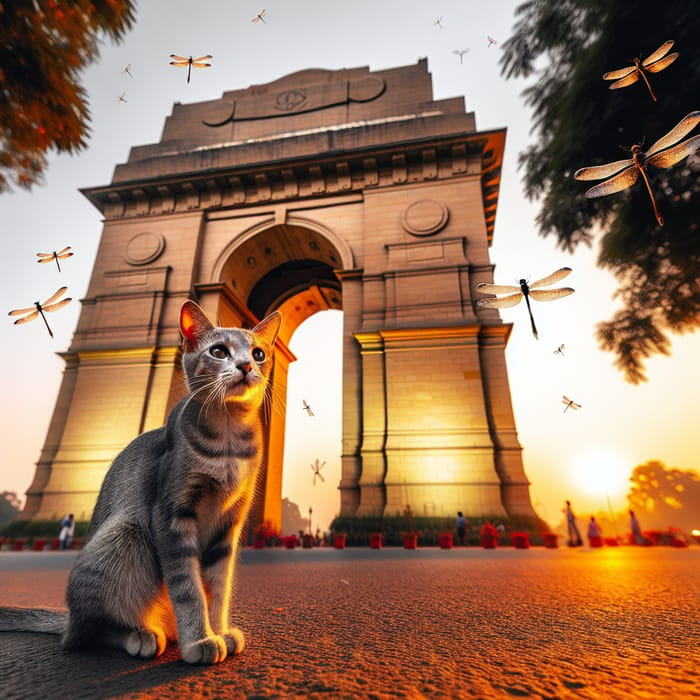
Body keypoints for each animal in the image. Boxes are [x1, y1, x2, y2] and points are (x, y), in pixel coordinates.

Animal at [3, 300, 282, 660]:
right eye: (219, 351)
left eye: (259, 354)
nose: (246, 366)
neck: (229, 443)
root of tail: (69, 621)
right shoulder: (171, 516)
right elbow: (188, 588)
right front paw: (199, 640)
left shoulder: (228, 525)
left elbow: (218, 587)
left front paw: (217, 631)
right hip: (127, 535)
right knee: (89, 634)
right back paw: (142, 635)